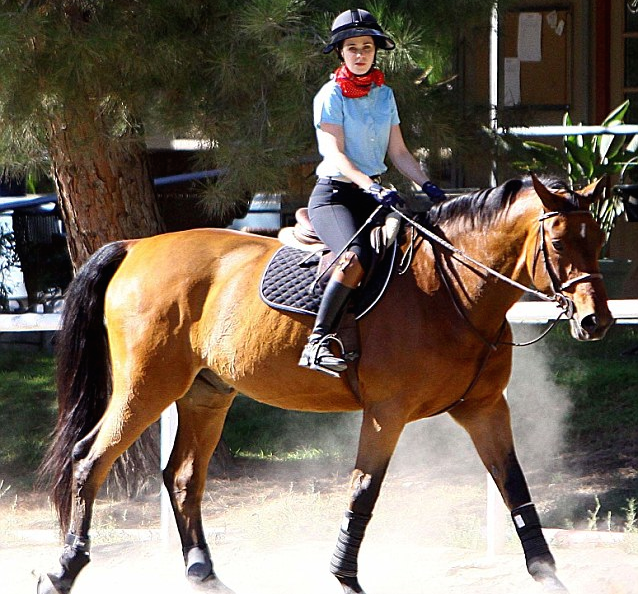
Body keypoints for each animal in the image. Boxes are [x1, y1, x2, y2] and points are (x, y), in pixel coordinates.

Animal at [38, 176, 616, 592]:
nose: (596, 322)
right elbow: (365, 489)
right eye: (558, 241)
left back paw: (204, 574)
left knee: (182, 477)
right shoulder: (387, 412)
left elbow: (515, 486)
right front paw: (344, 576)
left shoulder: (485, 408)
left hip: (206, 394)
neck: (451, 290)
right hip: (146, 388)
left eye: (599, 239)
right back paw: (65, 569)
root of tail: (137, 246)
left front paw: (548, 575)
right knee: (90, 458)